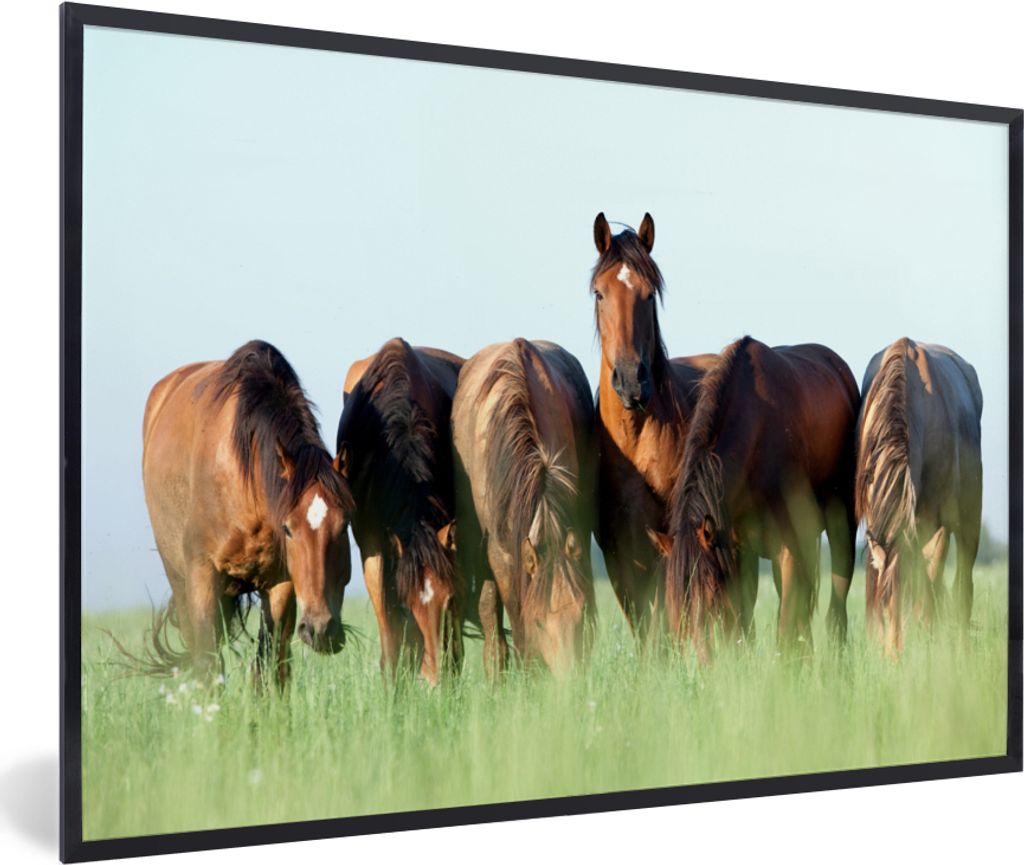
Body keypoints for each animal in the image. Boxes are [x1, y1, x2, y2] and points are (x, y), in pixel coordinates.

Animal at [141, 340, 354, 689]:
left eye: (345, 523)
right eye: (288, 528)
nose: (321, 629)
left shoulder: (281, 583)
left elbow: (269, 665)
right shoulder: (202, 574)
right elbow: (207, 663)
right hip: (179, 579)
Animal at [657, 336, 860, 659]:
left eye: (710, 596)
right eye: (675, 606)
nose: (701, 665)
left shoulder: (789, 550)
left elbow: (785, 626)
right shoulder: (738, 553)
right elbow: (743, 625)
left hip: (841, 527)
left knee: (836, 601)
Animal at [855, 338, 983, 656]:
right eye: (885, 605)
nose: (894, 659)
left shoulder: (938, 524)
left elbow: (928, 594)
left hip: (968, 522)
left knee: (963, 587)